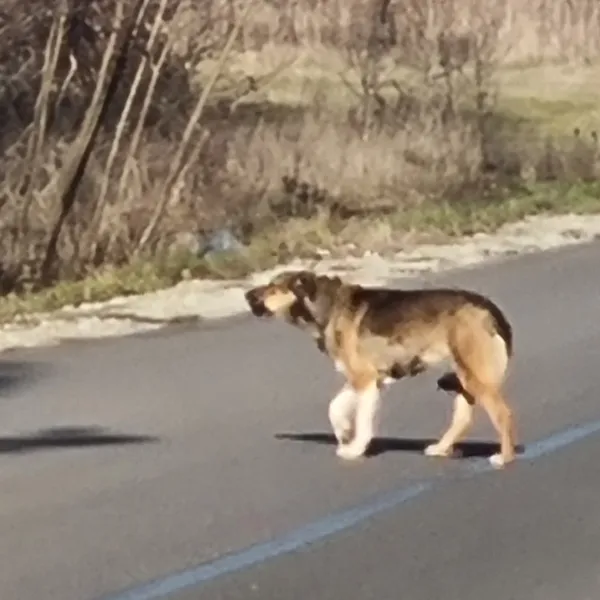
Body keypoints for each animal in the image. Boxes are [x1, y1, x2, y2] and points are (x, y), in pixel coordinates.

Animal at [244, 268, 516, 468]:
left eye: (273, 287)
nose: (246, 295)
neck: (326, 306)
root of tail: (489, 308)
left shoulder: (364, 380)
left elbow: (363, 420)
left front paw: (354, 449)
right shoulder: (363, 378)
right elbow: (335, 407)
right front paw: (344, 433)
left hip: (474, 376)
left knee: (503, 414)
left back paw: (504, 457)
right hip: (463, 377)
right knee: (463, 418)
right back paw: (441, 448)